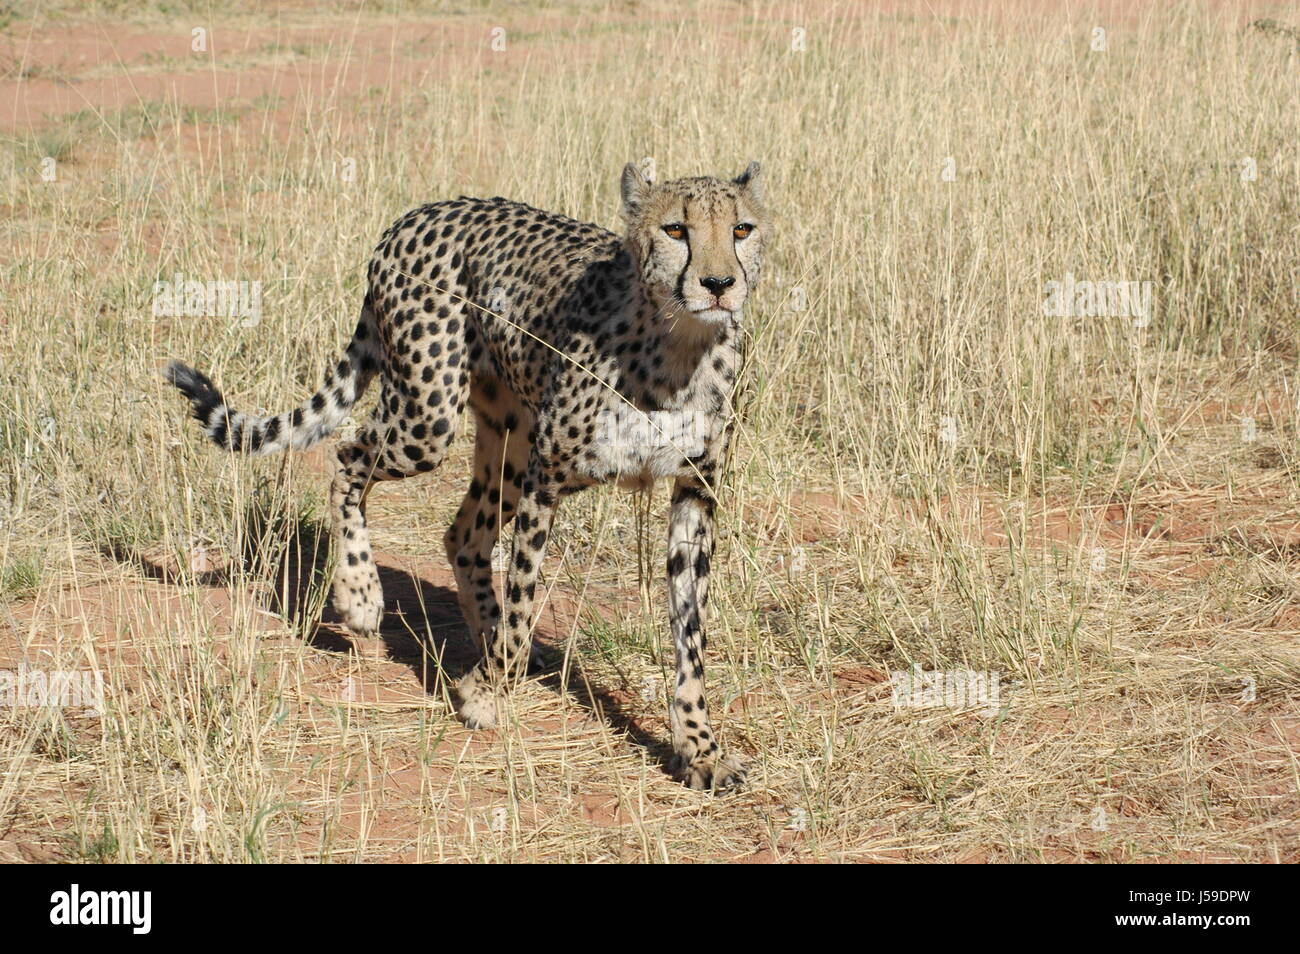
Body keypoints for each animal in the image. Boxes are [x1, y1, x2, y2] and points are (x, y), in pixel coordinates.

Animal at [166, 162, 764, 790]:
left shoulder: (694, 493)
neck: (679, 345)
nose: (719, 283)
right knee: (348, 459)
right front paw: (484, 694)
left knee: (465, 533)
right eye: (675, 229)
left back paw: (488, 636)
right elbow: (524, 596)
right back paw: (361, 597)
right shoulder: (547, 479)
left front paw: (699, 747)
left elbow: (690, 633)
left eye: (742, 229)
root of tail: (420, 212)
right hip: (428, 419)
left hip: (509, 438)